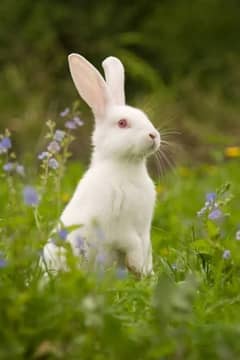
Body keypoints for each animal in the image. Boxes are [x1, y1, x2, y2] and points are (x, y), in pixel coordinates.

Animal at [42, 52, 160, 276]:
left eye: (146, 117)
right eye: (122, 123)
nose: (154, 135)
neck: (126, 167)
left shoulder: (144, 232)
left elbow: (146, 250)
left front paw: (145, 274)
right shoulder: (119, 228)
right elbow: (131, 244)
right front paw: (136, 267)